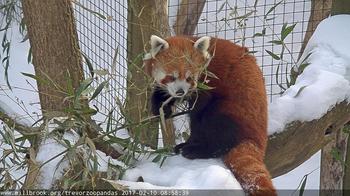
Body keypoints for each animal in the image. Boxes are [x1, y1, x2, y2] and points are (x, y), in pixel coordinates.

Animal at [144, 34, 274, 195]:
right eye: (171, 77)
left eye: (189, 78)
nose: (180, 91)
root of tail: (257, 139)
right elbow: (163, 95)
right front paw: (161, 108)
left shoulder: (208, 84)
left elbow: (198, 117)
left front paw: (192, 141)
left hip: (234, 110)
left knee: (219, 130)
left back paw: (196, 150)